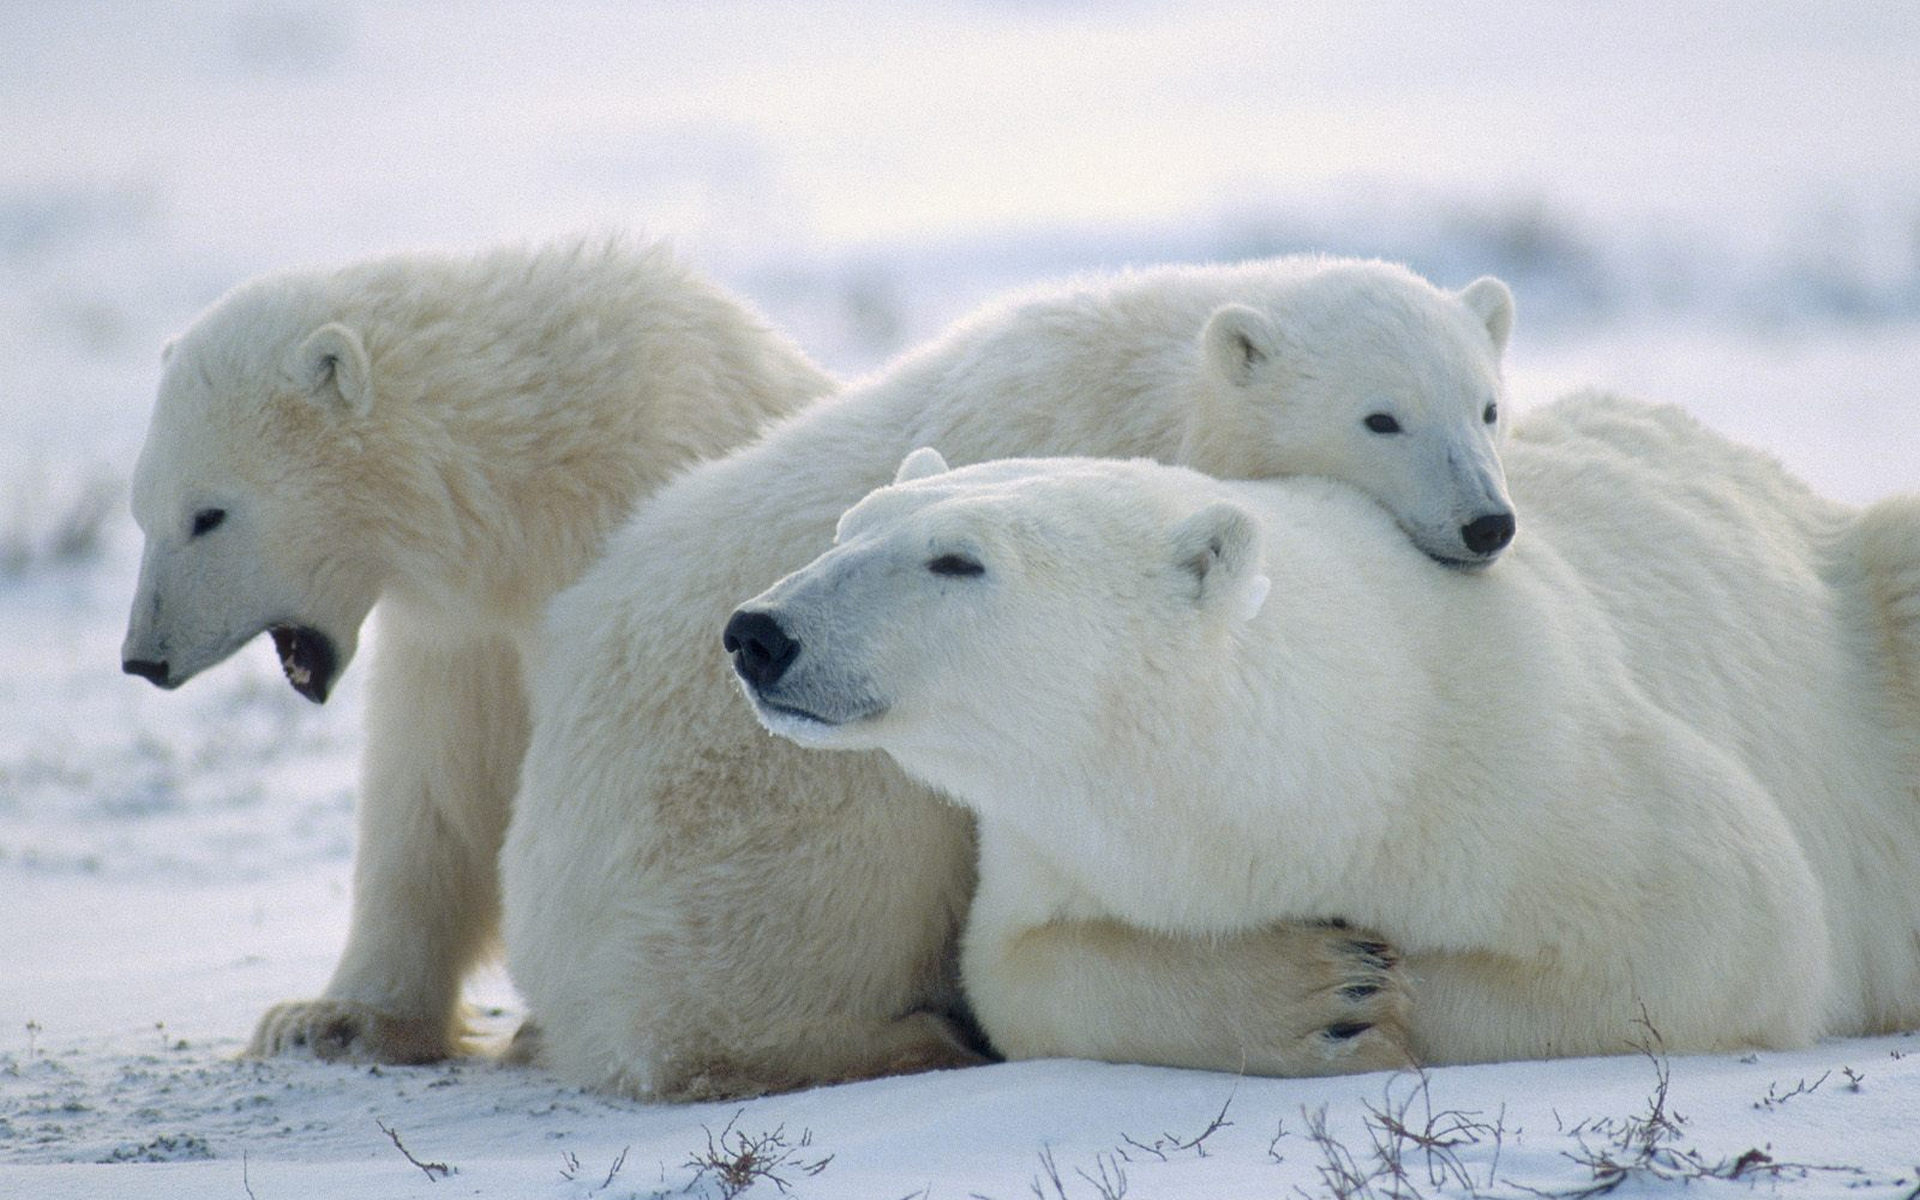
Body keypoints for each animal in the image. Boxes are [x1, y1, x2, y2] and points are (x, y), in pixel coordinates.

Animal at [123, 239, 829, 1059]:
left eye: (208, 515)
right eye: (141, 511)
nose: (143, 658)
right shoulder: (462, 638)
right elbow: (434, 789)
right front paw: (330, 1018)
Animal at [506, 257, 1512, 1098]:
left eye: (1487, 406)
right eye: (1382, 416)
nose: (1487, 523)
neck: (1159, 385)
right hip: (738, 824)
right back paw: (903, 1040)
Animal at [729, 397, 1920, 1059]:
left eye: (957, 559)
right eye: (848, 528)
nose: (759, 633)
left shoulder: (1538, 772)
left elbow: (1731, 928)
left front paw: (1382, 995)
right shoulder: (1056, 852)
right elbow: (1023, 975)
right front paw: (1322, 995)